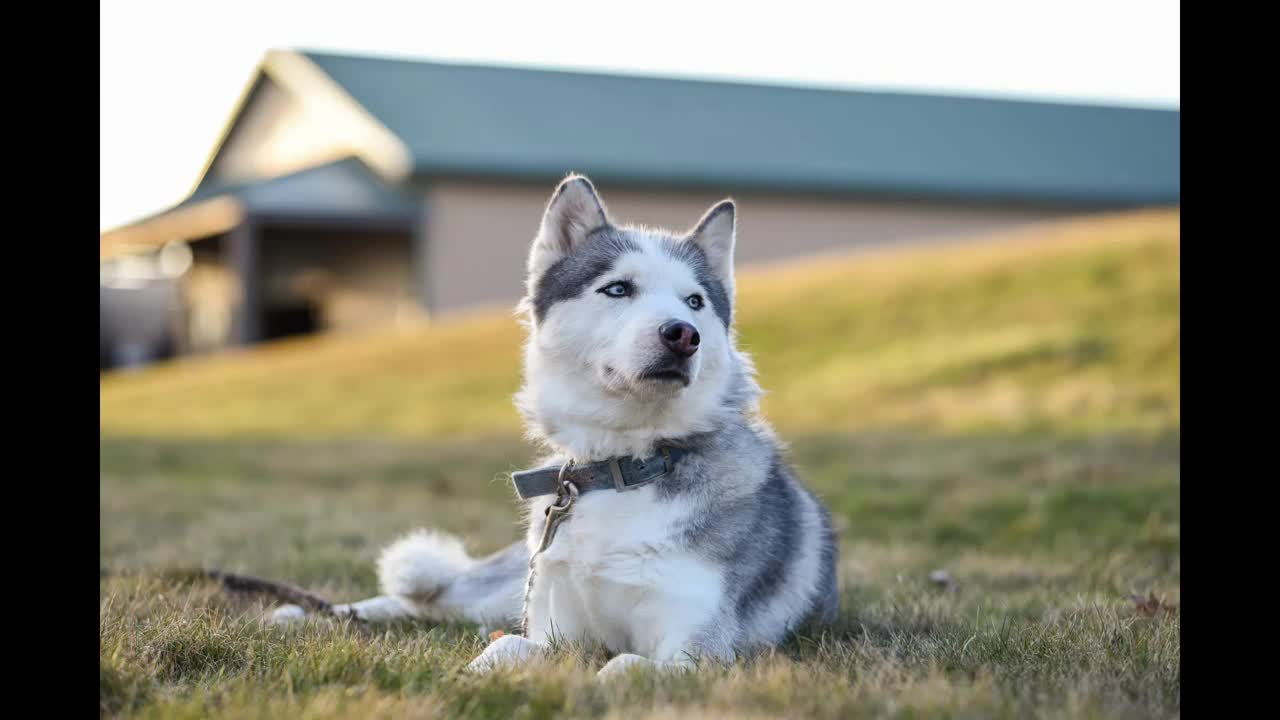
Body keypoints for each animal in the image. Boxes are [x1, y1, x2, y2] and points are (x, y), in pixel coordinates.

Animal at [277, 175, 839, 676]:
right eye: (618, 288)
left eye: (695, 302)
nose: (683, 334)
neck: (621, 467)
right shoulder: (552, 628)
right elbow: (504, 648)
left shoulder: (698, 652)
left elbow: (621, 666)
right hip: (502, 590)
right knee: (428, 601)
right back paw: (304, 614)